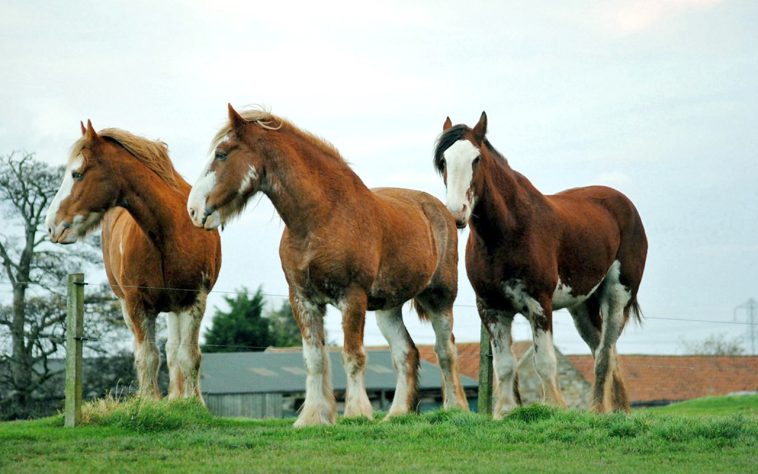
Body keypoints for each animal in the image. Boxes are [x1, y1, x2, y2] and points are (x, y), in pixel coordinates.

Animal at [45, 121, 222, 401]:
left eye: (77, 174)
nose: (51, 226)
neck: (167, 233)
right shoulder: (136, 304)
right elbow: (147, 357)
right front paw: (149, 401)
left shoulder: (193, 300)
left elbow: (188, 356)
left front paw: (193, 403)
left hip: (176, 308)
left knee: (175, 350)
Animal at [187, 104, 468, 426]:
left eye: (221, 154)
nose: (193, 209)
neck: (321, 217)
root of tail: (442, 211)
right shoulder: (302, 299)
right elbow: (314, 359)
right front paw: (312, 416)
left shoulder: (352, 297)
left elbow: (353, 355)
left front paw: (357, 413)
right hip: (388, 308)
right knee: (406, 353)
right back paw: (396, 414)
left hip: (440, 298)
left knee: (446, 350)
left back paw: (456, 408)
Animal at [434, 112, 647, 416]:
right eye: (443, 161)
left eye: (476, 159)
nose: (456, 213)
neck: (508, 231)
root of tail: (624, 204)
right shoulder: (490, 307)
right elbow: (504, 365)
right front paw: (505, 413)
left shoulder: (539, 304)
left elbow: (545, 362)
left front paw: (555, 407)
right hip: (582, 307)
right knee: (605, 351)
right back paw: (616, 411)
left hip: (618, 297)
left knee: (605, 354)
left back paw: (597, 409)